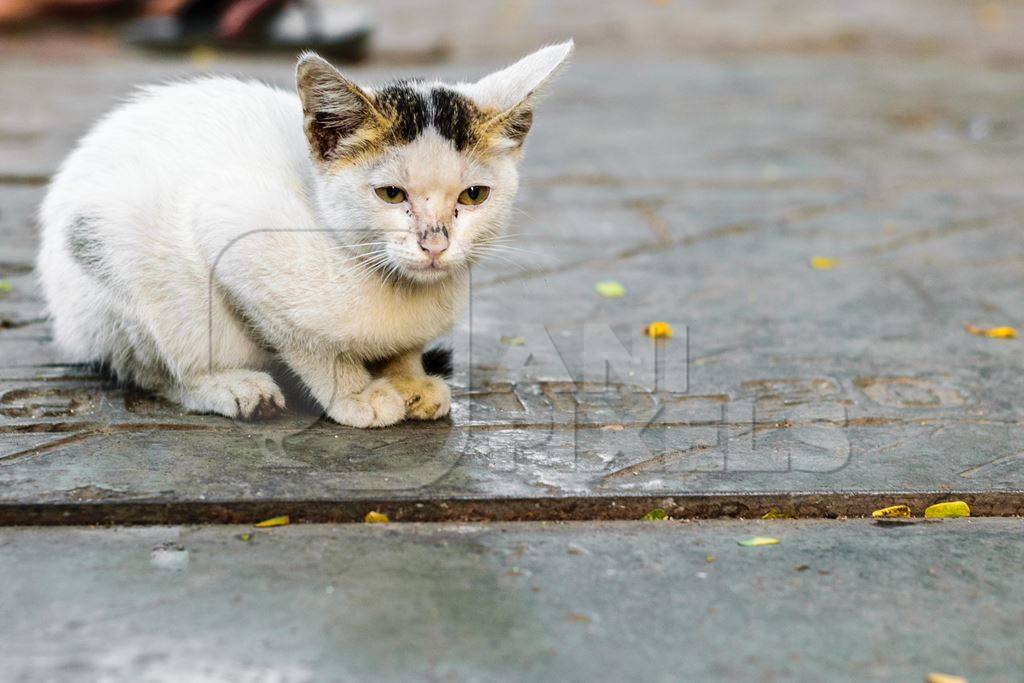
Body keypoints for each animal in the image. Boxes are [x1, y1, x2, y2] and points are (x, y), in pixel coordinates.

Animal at [36, 41, 573, 428]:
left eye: (474, 195)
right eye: (391, 194)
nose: (435, 244)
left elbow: (403, 348)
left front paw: (409, 377)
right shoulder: (233, 232)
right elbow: (308, 345)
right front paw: (357, 392)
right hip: (117, 261)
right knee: (147, 367)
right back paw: (229, 387)